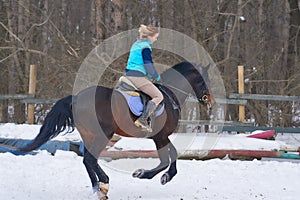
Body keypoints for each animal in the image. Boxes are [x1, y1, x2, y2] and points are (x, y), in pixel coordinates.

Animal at [18, 61, 213, 199]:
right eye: (203, 79)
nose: (208, 101)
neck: (170, 95)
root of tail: (77, 98)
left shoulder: (160, 137)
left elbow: (173, 154)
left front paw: (161, 176)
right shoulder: (161, 136)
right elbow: (167, 158)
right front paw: (147, 175)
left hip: (89, 136)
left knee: (88, 160)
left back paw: (99, 189)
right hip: (102, 134)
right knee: (90, 159)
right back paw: (104, 182)